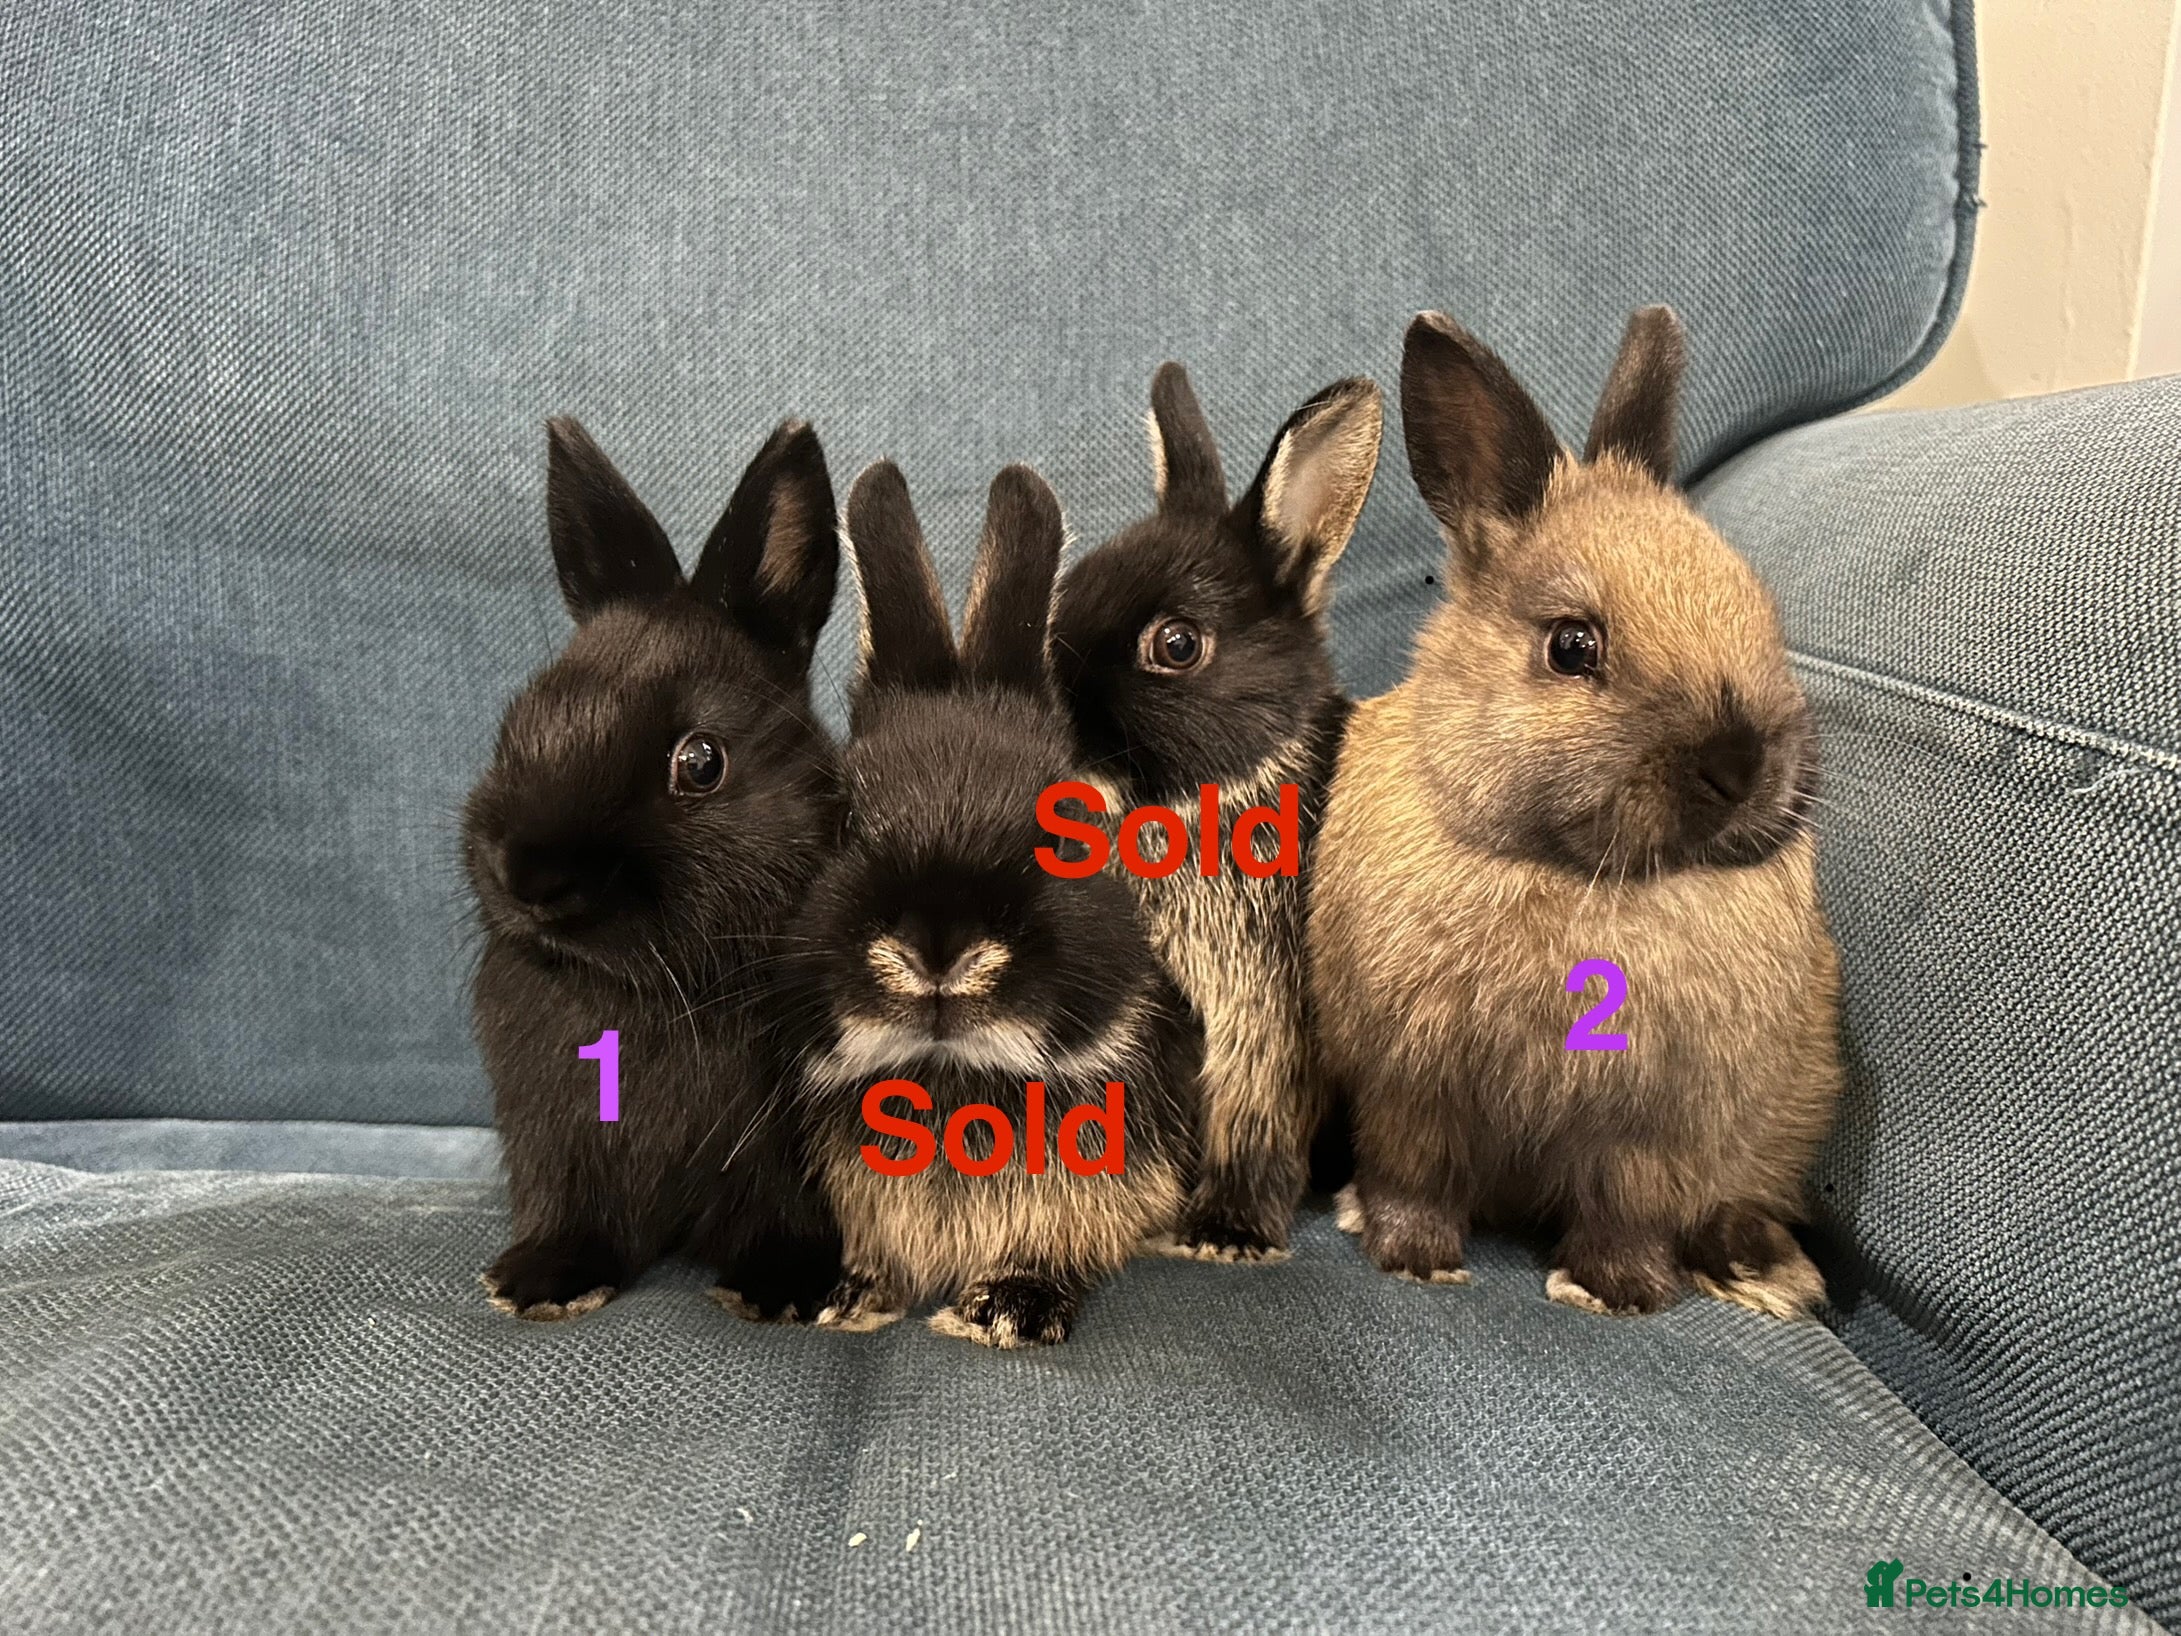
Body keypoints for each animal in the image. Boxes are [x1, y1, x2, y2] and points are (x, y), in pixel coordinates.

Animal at [464, 416, 846, 1323]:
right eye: (519, 722)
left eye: (701, 762)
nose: (529, 878)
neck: (653, 992)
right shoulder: (562, 1145)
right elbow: (576, 1216)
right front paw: (538, 1282)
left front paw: (782, 1290)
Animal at [795, 459, 1205, 1348]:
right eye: (841, 819)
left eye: (1068, 824)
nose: (937, 950)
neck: (951, 1071)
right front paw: (847, 1296)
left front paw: (1009, 1309)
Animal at [1309, 306, 1842, 1319]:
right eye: (1571, 646)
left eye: (1754, 606)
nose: (1740, 765)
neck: (1572, 872)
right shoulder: (1410, 1092)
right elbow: (1413, 1179)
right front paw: (1413, 1259)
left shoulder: (1655, 1132)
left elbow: (1627, 1212)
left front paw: (1617, 1294)